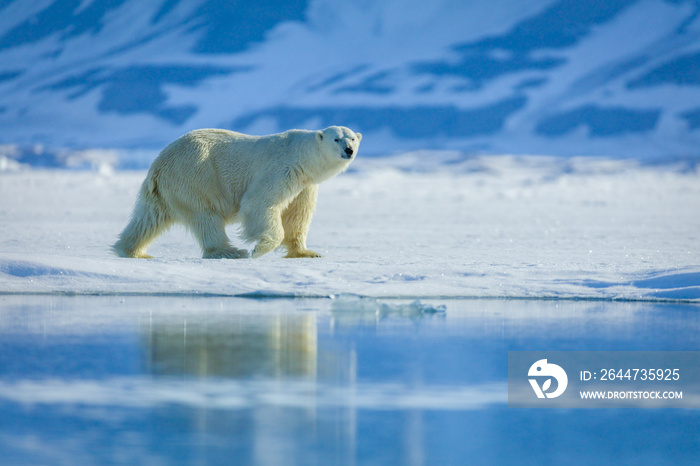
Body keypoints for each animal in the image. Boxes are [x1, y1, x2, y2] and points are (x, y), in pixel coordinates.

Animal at [112, 125, 364, 258]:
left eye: (352, 138)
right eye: (336, 139)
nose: (349, 150)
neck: (301, 156)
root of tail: (158, 163)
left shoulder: (305, 184)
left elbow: (297, 216)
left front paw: (307, 252)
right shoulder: (281, 169)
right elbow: (259, 202)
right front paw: (259, 249)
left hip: (165, 190)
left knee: (148, 219)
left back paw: (131, 250)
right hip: (196, 176)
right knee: (206, 215)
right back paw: (230, 251)